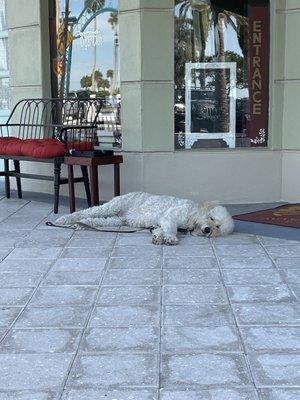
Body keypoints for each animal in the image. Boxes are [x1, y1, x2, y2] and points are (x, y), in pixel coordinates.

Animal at [55, 192, 234, 245]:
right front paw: (170, 238)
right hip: (111, 207)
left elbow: (159, 230)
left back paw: (81, 225)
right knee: (86, 212)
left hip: (116, 220)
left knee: (96, 221)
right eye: (211, 218)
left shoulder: (162, 222)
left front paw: (158, 237)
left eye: (218, 227)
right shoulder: (171, 216)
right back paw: (65, 219)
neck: (192, 213)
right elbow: (171, 228)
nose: (207, 230)